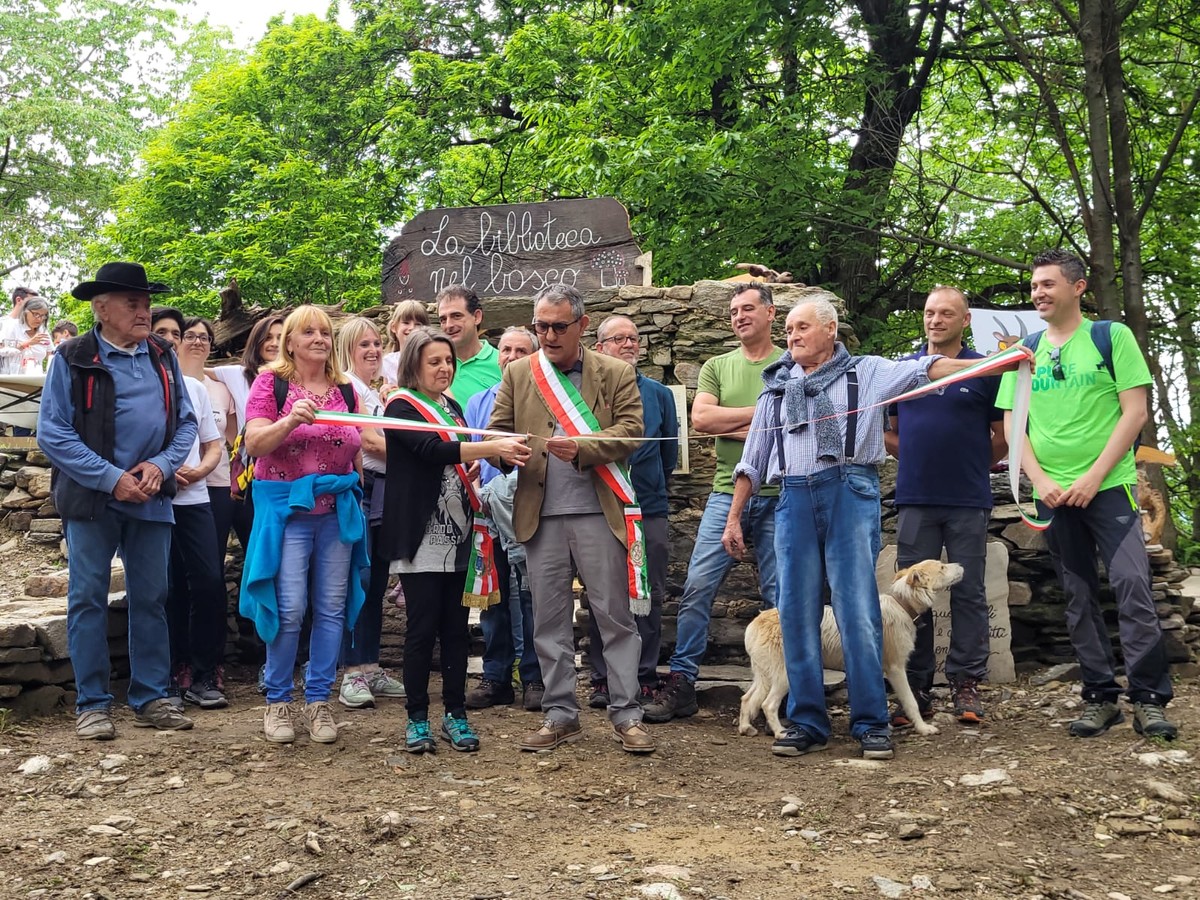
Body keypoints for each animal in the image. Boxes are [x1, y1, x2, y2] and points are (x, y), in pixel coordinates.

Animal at [734, 564, 960, 739]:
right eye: (941, 567)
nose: (961, 565)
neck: (901, 604)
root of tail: (756, 622)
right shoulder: (895, 668)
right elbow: (910, 702)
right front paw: (923, 728)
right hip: (784, 675)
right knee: (767, 704)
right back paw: (781, 733)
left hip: (764, 674)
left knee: (747, 699)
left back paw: (746, 727)